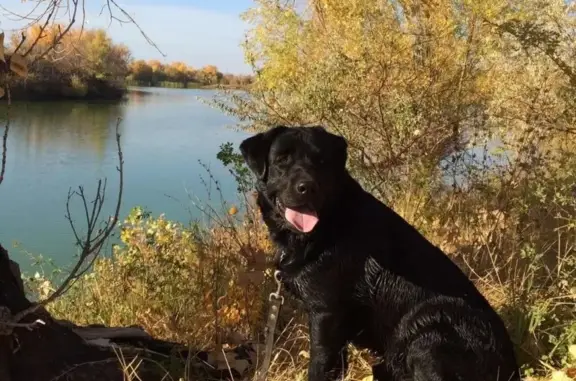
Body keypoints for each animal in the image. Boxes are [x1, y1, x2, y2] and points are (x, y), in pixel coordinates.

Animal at [238, 125, 520, 380]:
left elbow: (320, 366)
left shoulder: (326, 313)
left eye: (321, 161)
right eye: (281, 160)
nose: (307, 186)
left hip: (427, 330)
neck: (327, 225)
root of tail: (511, 369)